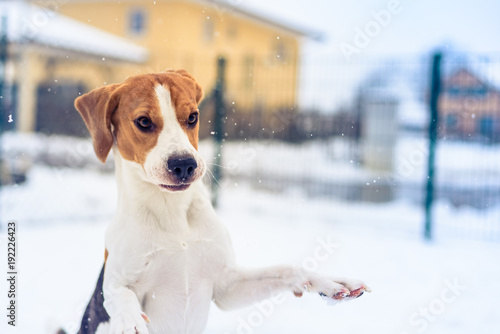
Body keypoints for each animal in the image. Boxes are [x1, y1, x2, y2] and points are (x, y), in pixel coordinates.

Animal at [75, 69, 372, 332]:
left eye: (192, 117)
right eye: (144, 122)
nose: (184, 164)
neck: (172, 212)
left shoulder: (226, 286)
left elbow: (287, 269)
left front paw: (328, 282)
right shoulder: (116, 281)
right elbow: (120, 296)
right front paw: (130, 321)